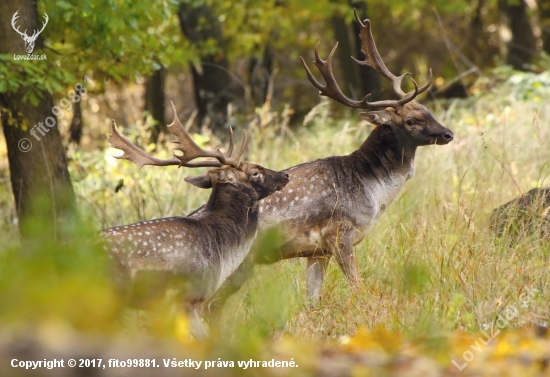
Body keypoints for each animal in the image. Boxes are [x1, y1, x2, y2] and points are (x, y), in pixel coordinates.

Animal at [205, 9, 454, 318]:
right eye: (411, 121)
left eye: (427, 110)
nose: (448, 134)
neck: (372, 192)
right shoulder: (338, 233)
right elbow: (357, 286)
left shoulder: (316, 251)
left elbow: (312, 300)